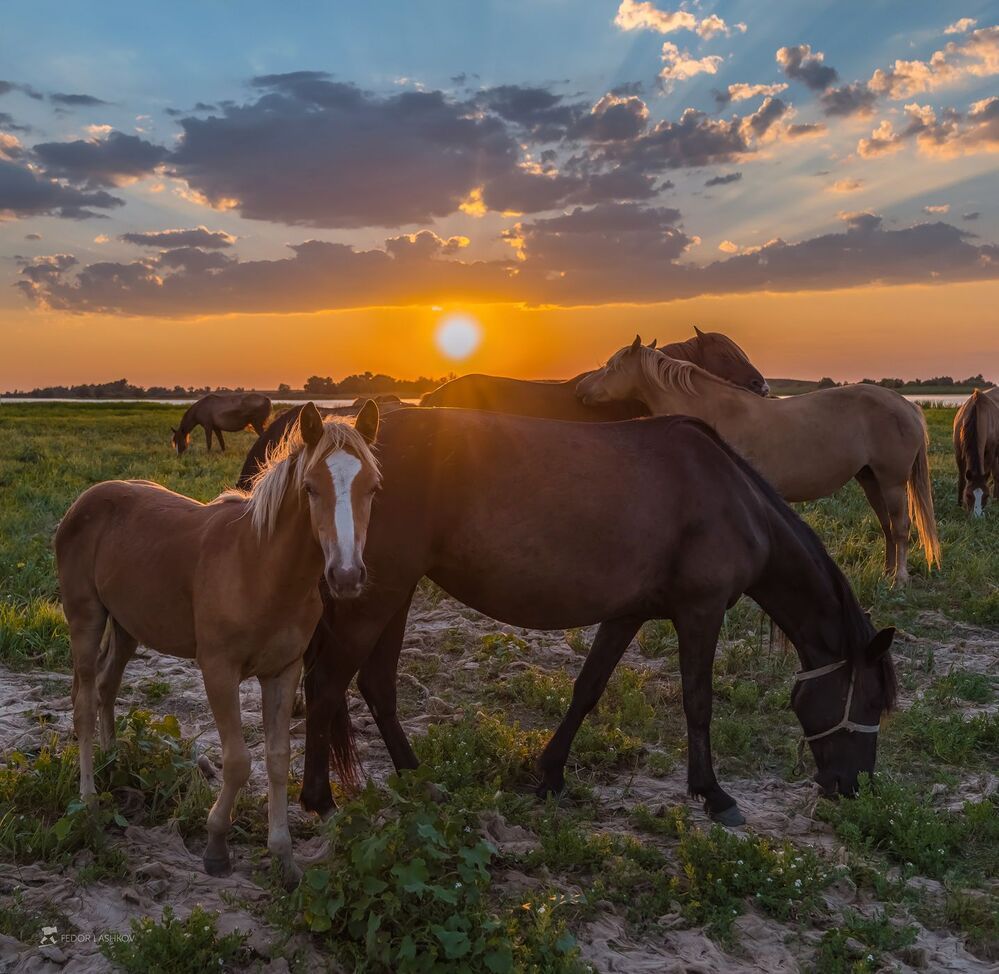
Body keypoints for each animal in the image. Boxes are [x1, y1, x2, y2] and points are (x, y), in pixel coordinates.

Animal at [57, 402, 381, 883]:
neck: (260, 568)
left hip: (128, 627)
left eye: (373, 487)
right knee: (82, 705)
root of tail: (83, 502)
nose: (345, 576)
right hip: (86, 620)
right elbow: (238, 761)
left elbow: (278, 758)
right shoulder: (218, 671)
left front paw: (284, 857)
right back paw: (91, 801)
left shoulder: (283, 672)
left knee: (105, 687)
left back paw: (114, 764)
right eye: (310, 488)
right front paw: (216, 845)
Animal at [256, 407, 898, 828]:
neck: (732, 500)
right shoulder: (701, 611)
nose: (853, 788)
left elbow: (588, 689)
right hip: (376, 593)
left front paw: (550, 775)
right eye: (869, 700)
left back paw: (417, 779)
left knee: (375, 684)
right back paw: (319, 798)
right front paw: (713, 794)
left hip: (392, 589)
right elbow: (698, 701)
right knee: (328, 683)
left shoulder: (628, 613)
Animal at [577, 337, 941, 584]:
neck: (711, 409)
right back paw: (887, 572)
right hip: (870, 480)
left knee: (901, 527)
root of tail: (906, 404)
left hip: (892, 482)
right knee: (887, 527)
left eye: (611, 366)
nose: (580, 389)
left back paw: (899, 579)